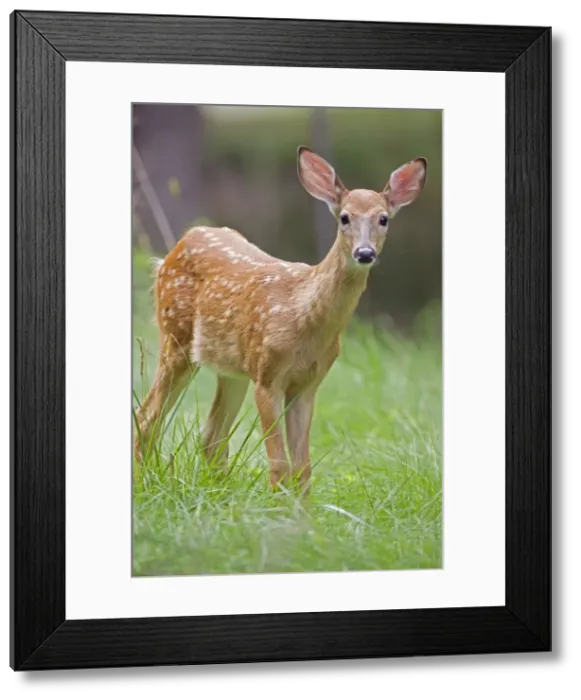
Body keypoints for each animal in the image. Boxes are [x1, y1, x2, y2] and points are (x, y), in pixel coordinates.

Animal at [133, 146, 427, 496]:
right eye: (344, 217)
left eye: (383, 219)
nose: (365, 253)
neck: (304, 318)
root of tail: (172, 251)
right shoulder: (268, 375)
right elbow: (279, 465)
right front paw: (277, 509)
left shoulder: (309, 383)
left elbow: (303, 468)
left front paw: (302, 512)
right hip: (176, 339)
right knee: (147, 417)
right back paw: (144, 482)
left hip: (231, 368)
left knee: (212, 436)